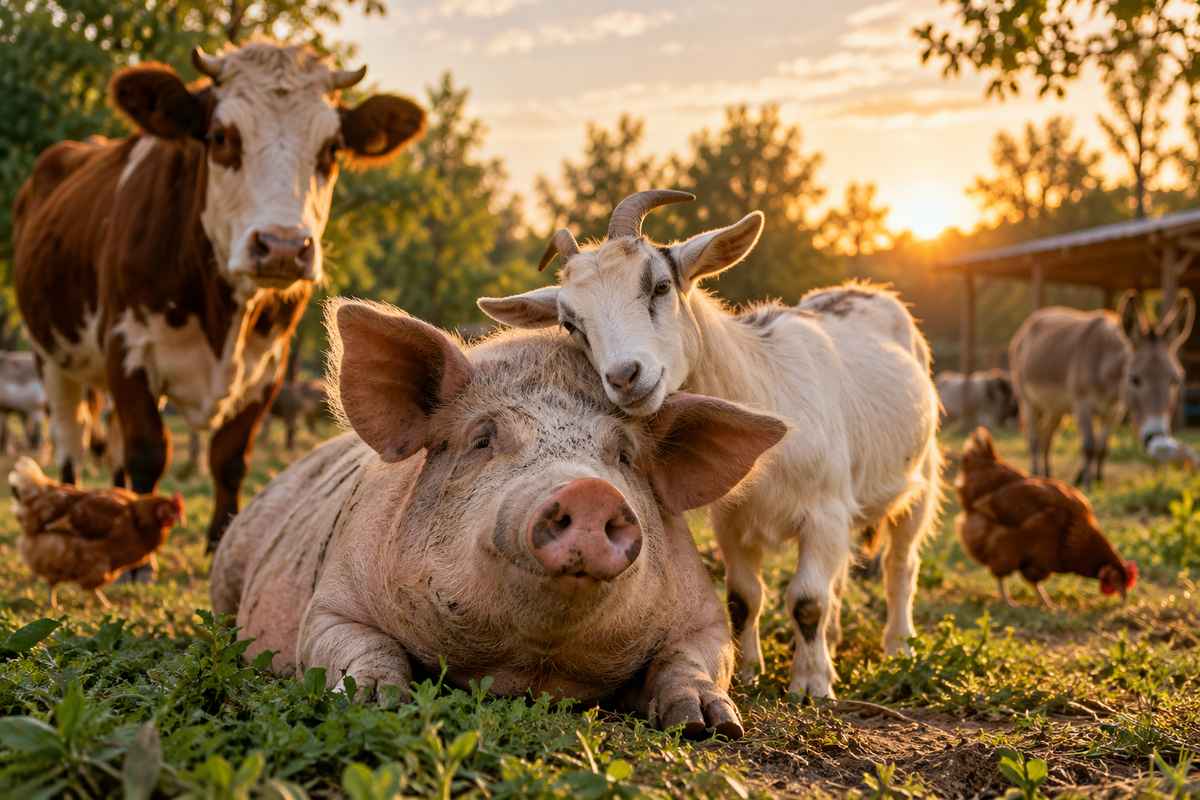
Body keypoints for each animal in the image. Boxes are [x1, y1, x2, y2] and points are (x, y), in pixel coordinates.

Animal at [211, 299, 787, 738]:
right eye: (483, 438)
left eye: (624, 456)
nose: (589, 491)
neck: (531, 668)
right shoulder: (332, 602)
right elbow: (355, 641)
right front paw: (372, 699)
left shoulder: (704, 616)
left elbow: (694, 657)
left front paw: (711, 725)